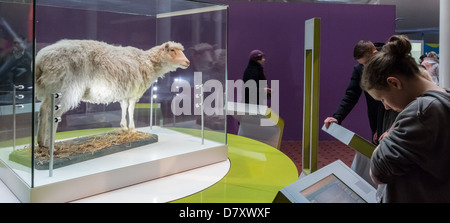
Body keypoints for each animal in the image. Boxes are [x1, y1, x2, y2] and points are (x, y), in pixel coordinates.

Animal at [34, 39, 190, 148]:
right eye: (172, 50)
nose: (188, 62)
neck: (147, 62)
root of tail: (40, 60)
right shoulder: (133, 91)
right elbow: (131, 109)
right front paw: (132, 129)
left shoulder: (125, 91)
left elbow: (124, 107)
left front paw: (124, 127)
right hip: (65, 88)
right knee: (54, 114)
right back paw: (50, 144)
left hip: (50, 89)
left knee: (43, 110)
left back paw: (41, 142)